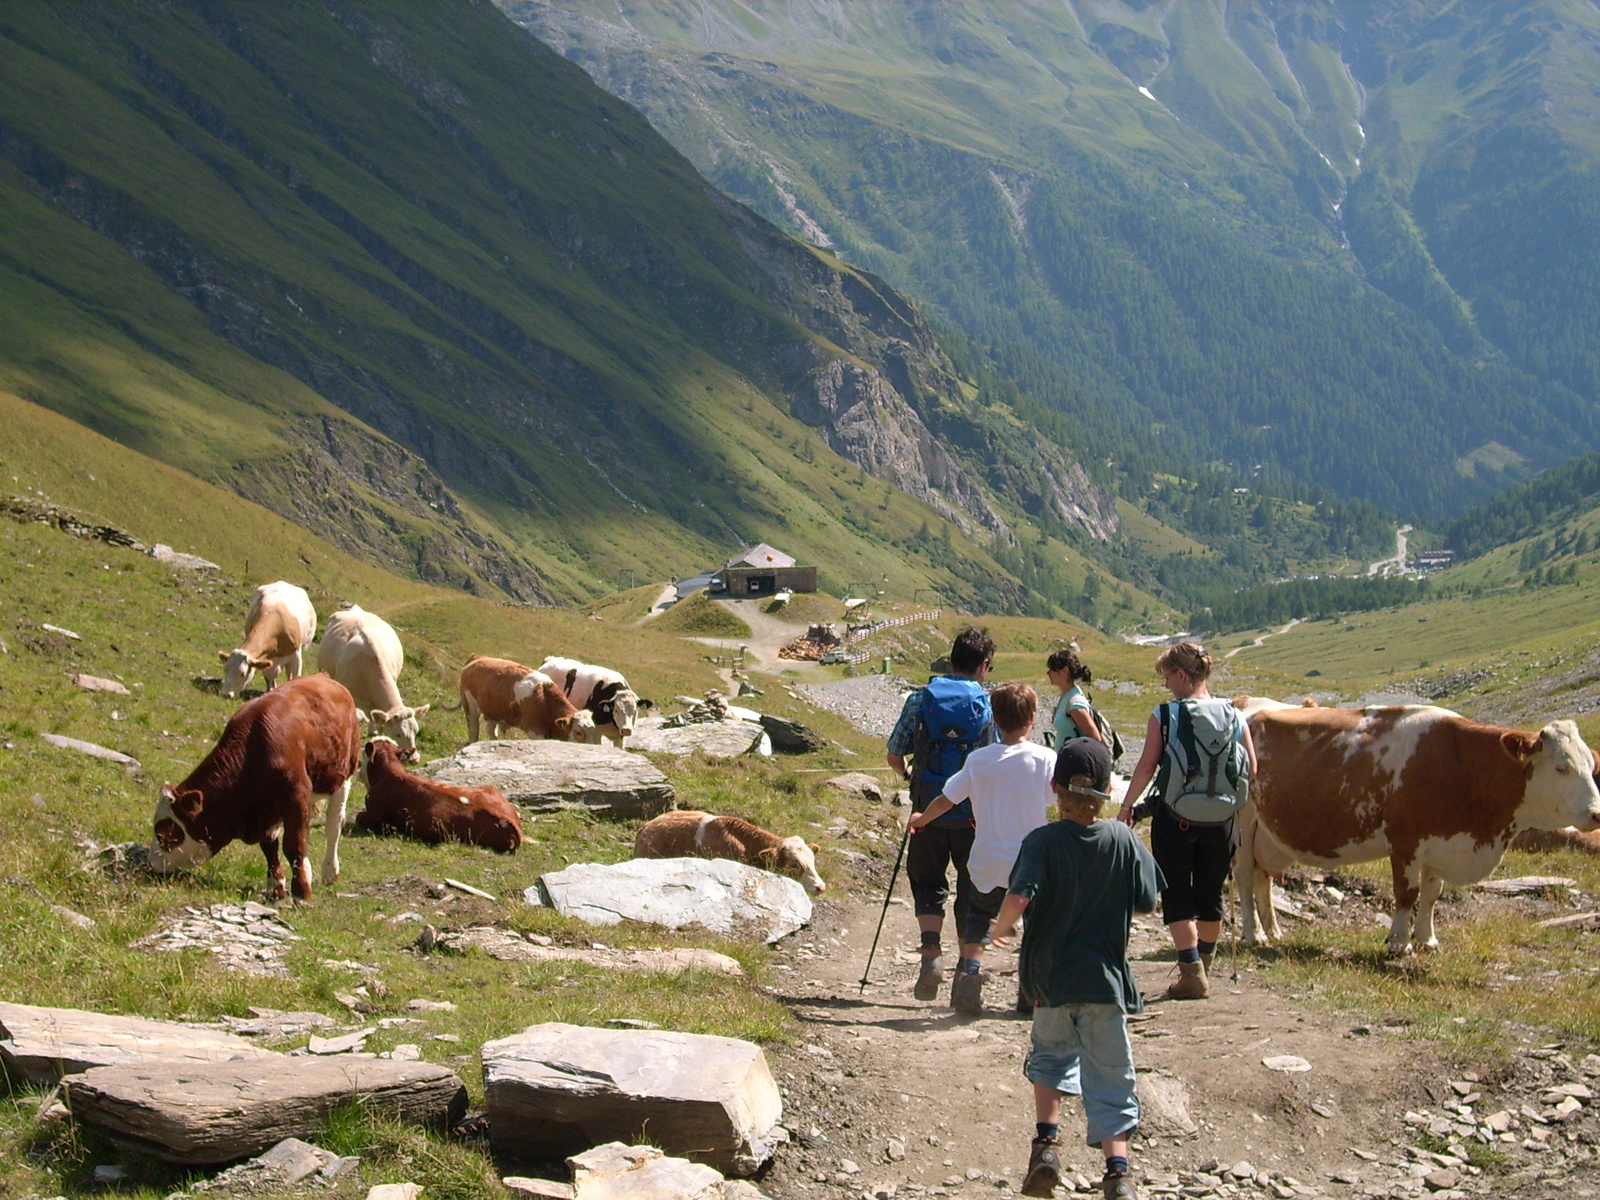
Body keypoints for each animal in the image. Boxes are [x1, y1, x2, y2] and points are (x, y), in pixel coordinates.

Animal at [457, 659, 595, 742]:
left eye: (594, 730)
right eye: (578, 733)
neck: (546, 701)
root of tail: (476, 659)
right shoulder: (535, 732)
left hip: (494, 712)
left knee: (491, 731)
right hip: (470, 705)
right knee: (473, 729)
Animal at [1235, 704, 1600, 960]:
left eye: (1591, 766)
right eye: (1561, 767)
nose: (1597, 813)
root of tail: (1248, 709)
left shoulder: (1439, 841)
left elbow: (1432, 893)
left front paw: (1427, 939)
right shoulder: (1405, 839)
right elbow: (1406, 893)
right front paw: (1399, 943)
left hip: (1265, 834)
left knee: (1262, 878)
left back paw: (1274, 931)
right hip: (1242, 822)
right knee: (1243, 878)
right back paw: (1253, 934)